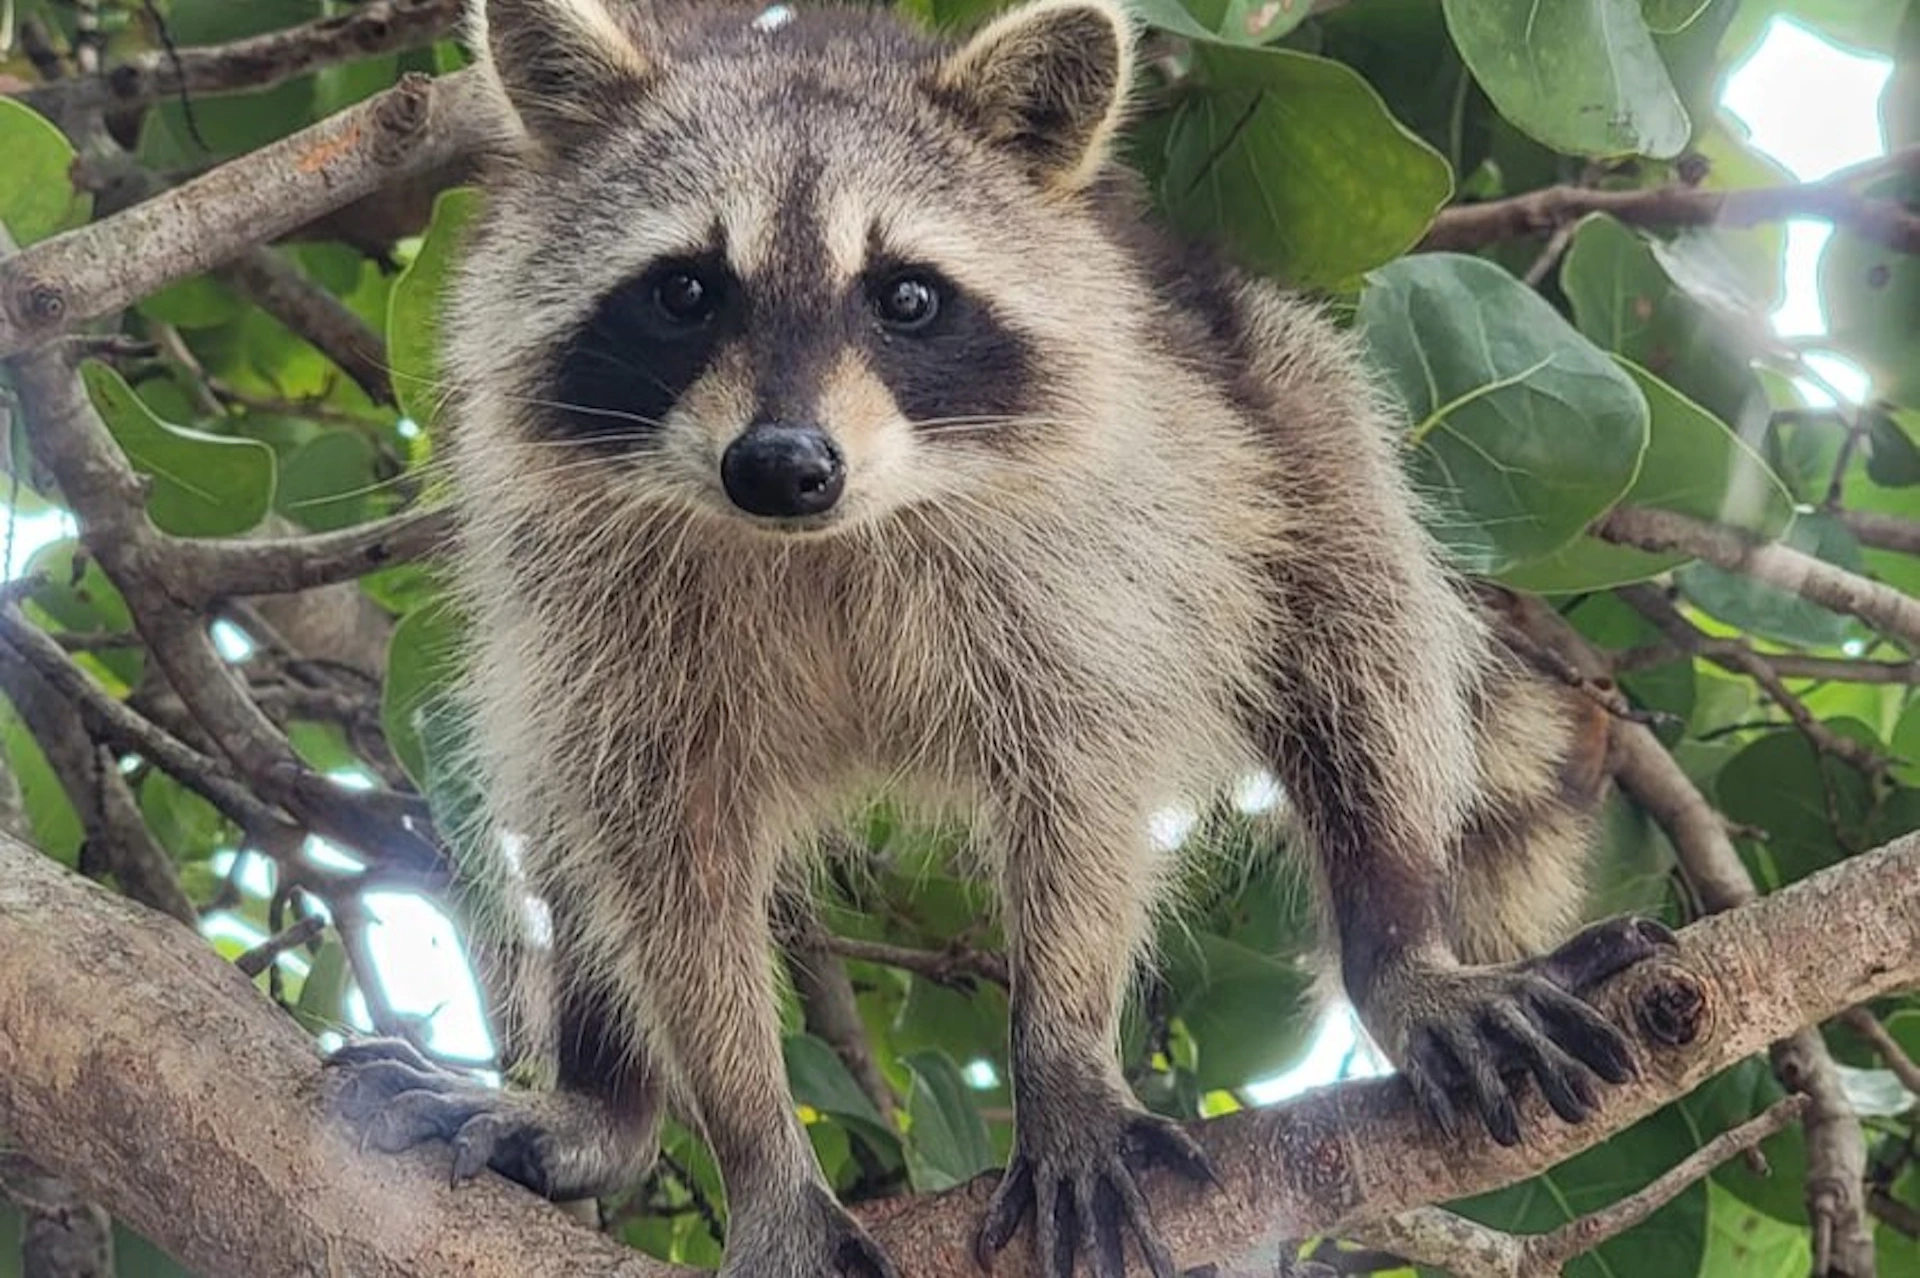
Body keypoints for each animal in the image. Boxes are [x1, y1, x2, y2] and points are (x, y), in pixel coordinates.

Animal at [333, 1, 1675, 1274]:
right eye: (685, 290)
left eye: (907, 297)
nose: (782, 466)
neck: (824, 540)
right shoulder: (594, 600)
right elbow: (663, 857)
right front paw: (755, 1143)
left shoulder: (1088, 559)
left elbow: (1083, 793)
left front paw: (1066, 1059)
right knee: (562, 800)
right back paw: (604, 1101)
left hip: (1282, 400)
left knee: (1360, 638)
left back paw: (1398, 939)